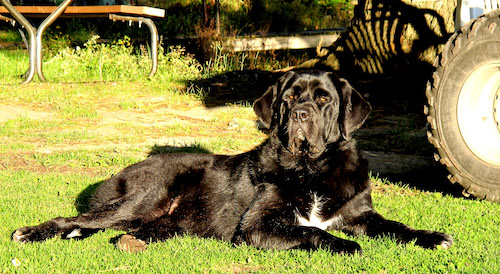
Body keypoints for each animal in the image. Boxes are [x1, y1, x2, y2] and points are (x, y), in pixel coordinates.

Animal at [11, 70, 454, 255]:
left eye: (323, 99)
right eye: (288, 98)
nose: (301, 114)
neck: (311, 169)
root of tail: (124, 170)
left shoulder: (361, 214)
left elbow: (396, 226)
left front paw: (432, 236)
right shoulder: (257, 226)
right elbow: (312, 231)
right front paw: (345, 246)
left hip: (162, 221)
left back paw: (127, 242)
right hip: (143, 199)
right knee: (75, 219)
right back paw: (31, 233)